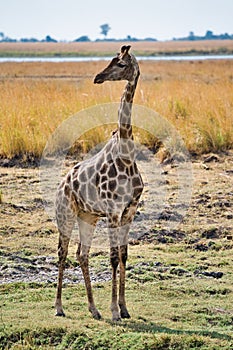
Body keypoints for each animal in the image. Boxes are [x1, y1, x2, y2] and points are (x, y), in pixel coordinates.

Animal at [54, 45, 144, 322]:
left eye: (121, 64)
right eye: (111, 60)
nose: (98, 77)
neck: (126, 154)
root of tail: (62, 185)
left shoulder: (129, 210)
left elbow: (123, 255)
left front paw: (124, 308)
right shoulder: (113, 210)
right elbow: (113, 257)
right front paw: (114, 310)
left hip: (88, 216)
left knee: (81, 254)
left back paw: (93, 309)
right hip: (66, 213)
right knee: (62, 254)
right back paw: (59, 307)